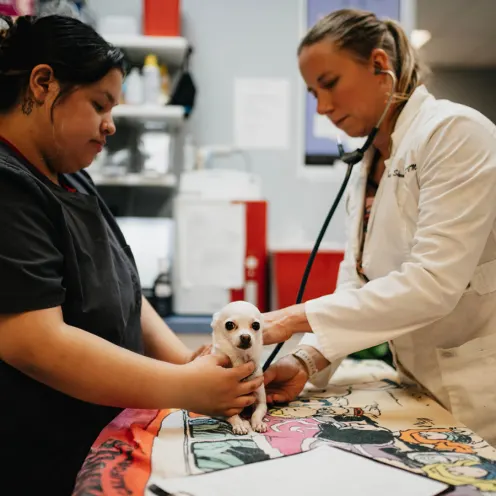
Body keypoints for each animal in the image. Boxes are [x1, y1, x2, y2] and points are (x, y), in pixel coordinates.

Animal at [212, 298, 270, 434]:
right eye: (229, 325)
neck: (241, 360)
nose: (245, 337)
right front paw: (240, 424)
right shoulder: (221, 407)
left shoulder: (261, 402)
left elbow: (256, 413)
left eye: (256, 325)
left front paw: (258, 423)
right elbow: (233, 415)